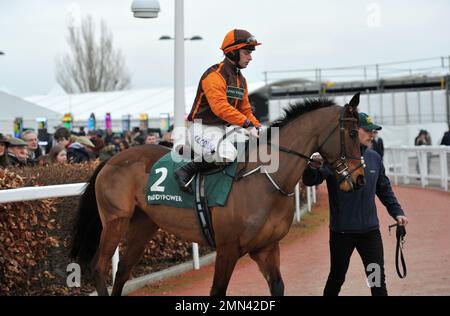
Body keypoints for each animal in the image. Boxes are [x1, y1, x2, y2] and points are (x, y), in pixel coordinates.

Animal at [70, 92, 366, 296]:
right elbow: (217, 292)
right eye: (353, 133)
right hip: (116, 220)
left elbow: (278, 287)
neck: (264, 180)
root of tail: (109, 160)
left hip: (143, 224)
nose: (360, 179)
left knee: (122, 272)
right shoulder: (227, 248)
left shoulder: (267, 248)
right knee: (99, 267)